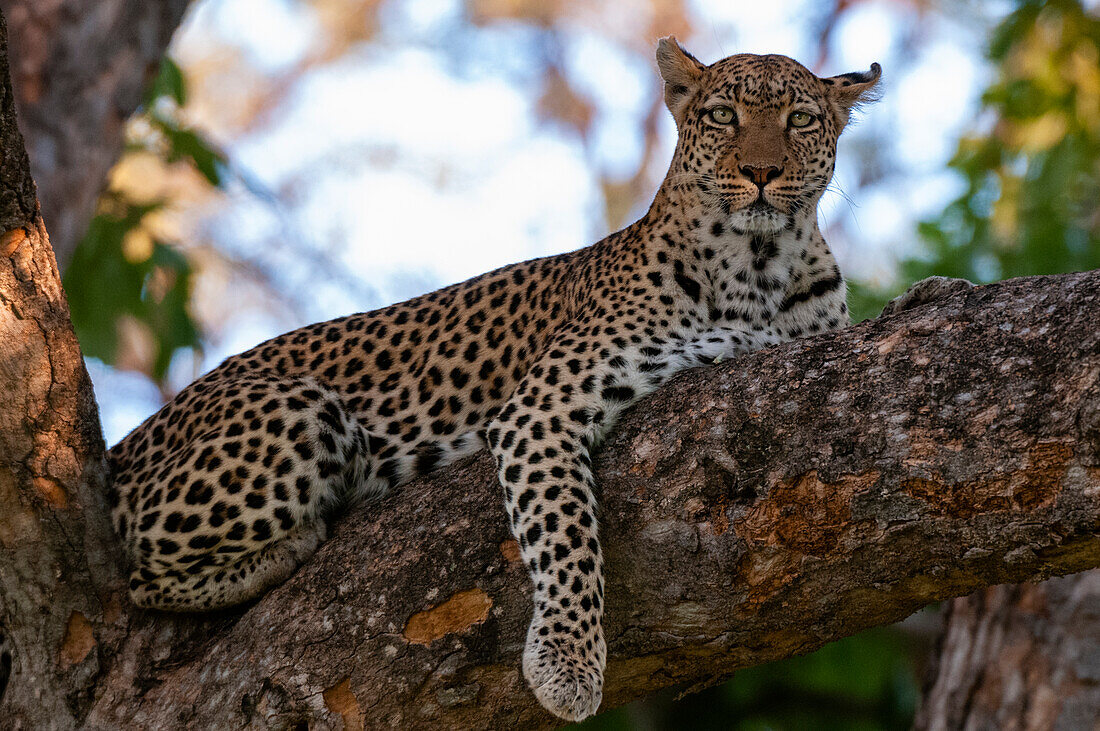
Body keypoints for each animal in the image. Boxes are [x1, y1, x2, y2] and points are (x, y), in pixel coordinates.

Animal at [105, 38, 884, 716]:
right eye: (723, 115)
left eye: (801, 120)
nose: (761, 172)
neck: (761, 269)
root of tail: (133, 439)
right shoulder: (542, 407)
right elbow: (567, 534)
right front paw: (569, 663)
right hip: (300, 409)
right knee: (139, 571)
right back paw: (288, 546)